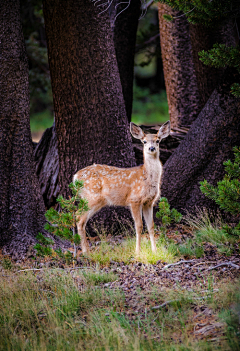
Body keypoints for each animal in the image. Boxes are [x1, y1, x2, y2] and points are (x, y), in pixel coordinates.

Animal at [73, 121, 171, 256]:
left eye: (158, 140)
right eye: (144, 141)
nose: (151, 148)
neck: (146, 177)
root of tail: (75, 177)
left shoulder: (149, 202)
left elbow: (151, 226)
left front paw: (155, 251)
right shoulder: (134, 199)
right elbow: (139, 226)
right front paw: (137, 251)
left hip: (95, 200)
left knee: (80, 218)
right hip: (92, 197)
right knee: (78, 217)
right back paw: (86, 252)